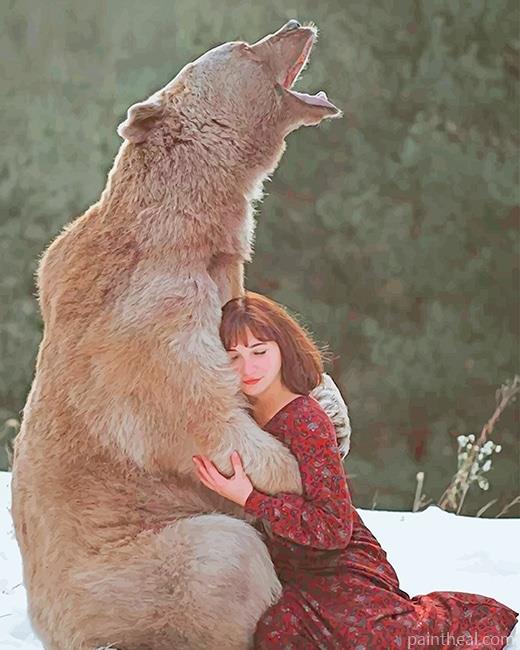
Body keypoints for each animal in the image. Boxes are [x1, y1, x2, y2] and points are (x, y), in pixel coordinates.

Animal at [11, 20, 347, 650]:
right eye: (245, 48)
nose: (296, 25)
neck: (189, 229)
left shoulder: (224, 280)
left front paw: (331, 411)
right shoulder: (148, 317)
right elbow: (205, 417)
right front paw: (304, 471)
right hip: (127, 575)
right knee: (222, 556)